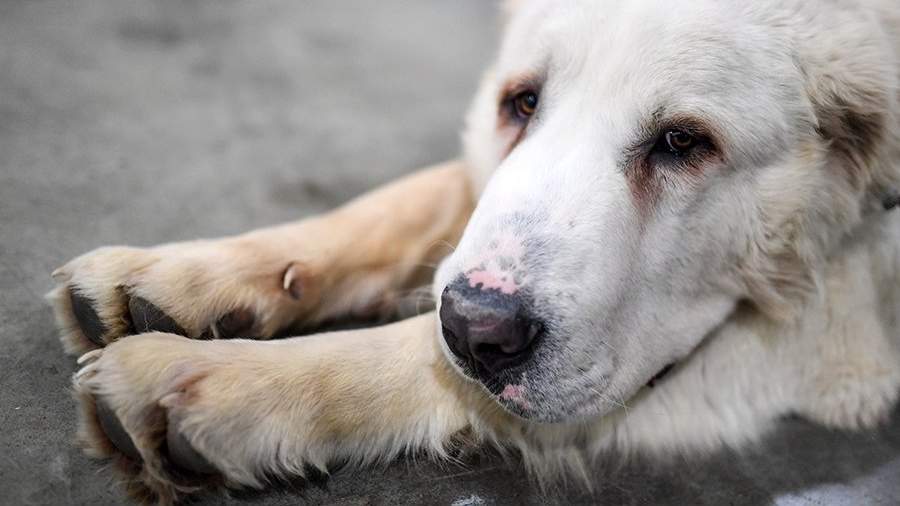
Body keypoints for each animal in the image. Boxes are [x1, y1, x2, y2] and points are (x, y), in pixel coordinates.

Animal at [47, 1, 900, 504]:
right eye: (522, 103)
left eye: (684, 143)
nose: (476, 327)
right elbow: (404, 201)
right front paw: (189, 272)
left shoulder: (833, 348)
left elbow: (413, 353)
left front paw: (227, 382)